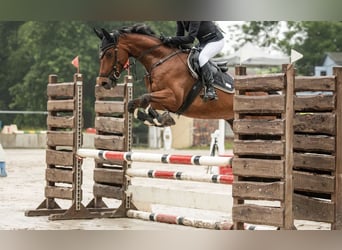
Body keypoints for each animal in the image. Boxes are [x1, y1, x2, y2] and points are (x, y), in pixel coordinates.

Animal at [93, 23, 234, 127]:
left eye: (109, 54)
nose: (103, 82)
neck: (160, 60)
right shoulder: (159, 97)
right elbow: (133, 104)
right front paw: (156, 119)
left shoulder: (175, 99)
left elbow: (144, 98)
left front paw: (160, 119)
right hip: (232, 119)